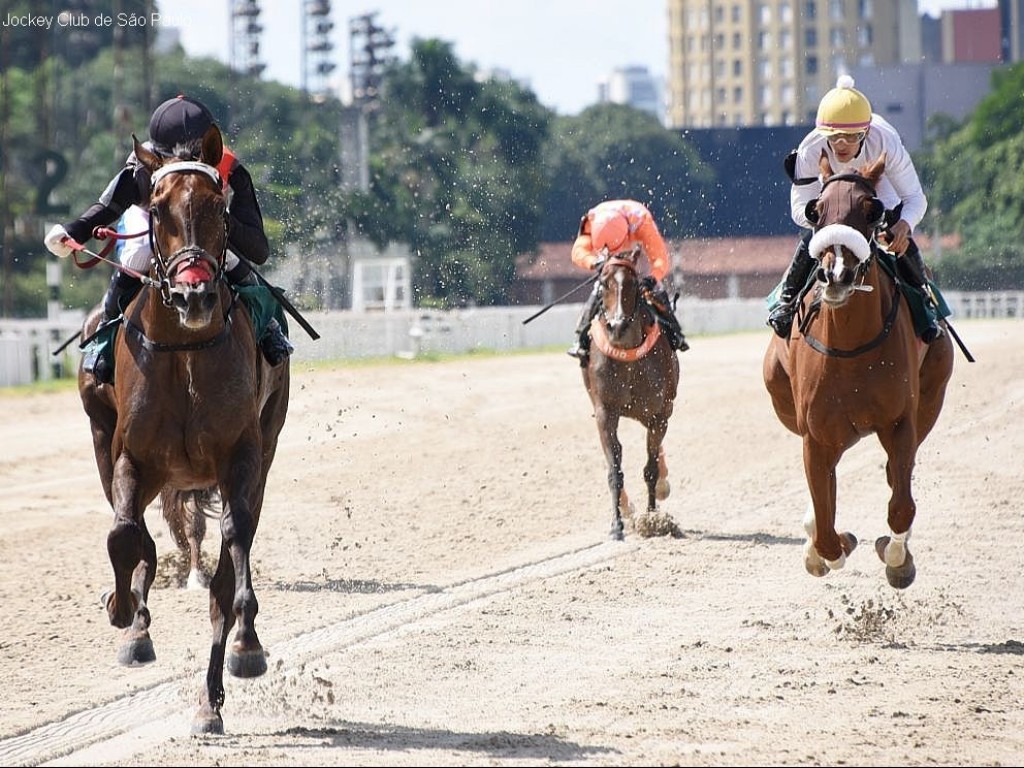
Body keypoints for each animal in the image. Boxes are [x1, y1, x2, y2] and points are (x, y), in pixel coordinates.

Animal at [76, 124, 288, 733]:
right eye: (155, 207)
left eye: (220, 206)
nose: (195, 295)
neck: (187, 350)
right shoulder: (131, 457)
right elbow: (125, 534)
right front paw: (125, 614)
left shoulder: (242, 458)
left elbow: (234, 549)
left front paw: (247, 644)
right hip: (107, 443)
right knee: (139, 533)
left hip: (266, 446)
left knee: (222, 574)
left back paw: (212, 698)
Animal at [585, 252, 679, 540]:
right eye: (603, 283)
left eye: (633, 283)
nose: (617, 327)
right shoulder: (605, 412)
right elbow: (614, 469)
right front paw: (617, 525)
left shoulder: (659, 413)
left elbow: (650, 469)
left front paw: (653, 518)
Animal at [765, 153, 954, 593]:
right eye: (816, 210)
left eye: (871, 210)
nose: (836, 274)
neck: (850, 346)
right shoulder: (817, 435)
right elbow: (826, 529)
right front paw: (825, 549)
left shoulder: (900, 423)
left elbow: (901, 505)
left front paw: (897, 558)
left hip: (932, 396)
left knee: (895, 476)